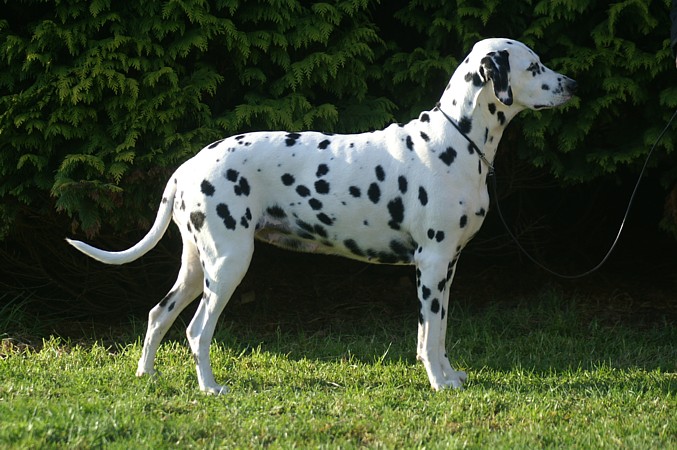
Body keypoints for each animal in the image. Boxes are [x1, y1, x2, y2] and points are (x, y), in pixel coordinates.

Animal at [67, 40, 576, 396]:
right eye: (534, 66)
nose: (572, 84)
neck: (455, 143)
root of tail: (187, 166)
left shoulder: (447, 268)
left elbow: (437, 333)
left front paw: (449, 375)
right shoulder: (431, 265)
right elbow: (432, 335)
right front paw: (438, 382)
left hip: (196, 267)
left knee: (158, 314)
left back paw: (147, 374)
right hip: (228, 266)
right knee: (196, 330)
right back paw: (210, 388)